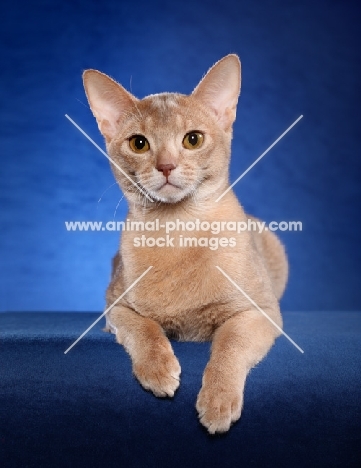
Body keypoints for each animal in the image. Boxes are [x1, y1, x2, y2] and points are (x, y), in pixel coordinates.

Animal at [82, 55, 286, 436]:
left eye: (193, 139)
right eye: (139, 144)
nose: (166, 166)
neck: (178, 229)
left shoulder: (259, 311)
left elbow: (230, 344)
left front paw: (218, 400)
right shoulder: (115, 306)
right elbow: (144, 328)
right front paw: (159, 370)